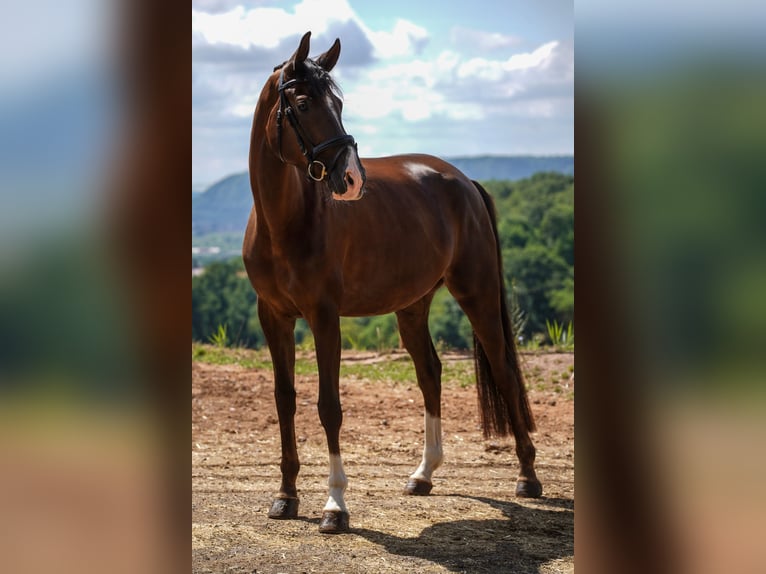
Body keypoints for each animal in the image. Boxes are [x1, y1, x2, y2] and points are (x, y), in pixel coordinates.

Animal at [243, 31, 542, 534]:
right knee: (430, 373)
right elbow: (285, 400)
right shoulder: (274, 317)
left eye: (339, 103)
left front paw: (335, 506)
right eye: (302, 103)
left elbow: (329, 406)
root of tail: (464, 182)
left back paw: (527, 476)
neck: (286, 223)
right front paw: (285, 496)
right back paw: (423, 475)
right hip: (412, 306)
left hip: (477, 294)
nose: (351, 179)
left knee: (502, 370)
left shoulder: (324, 317)